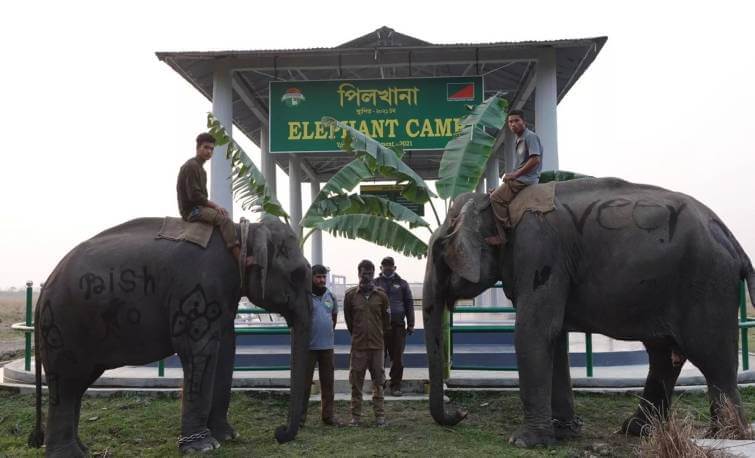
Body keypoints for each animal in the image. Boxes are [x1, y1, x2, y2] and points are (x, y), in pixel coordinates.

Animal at [27, 216, 310, 456]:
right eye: (298, 275)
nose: (279, 433)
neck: (242, 232)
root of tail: (44, 288)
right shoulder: (197, 292)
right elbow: (200, 352)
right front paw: (203, 447)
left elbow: (225, 351)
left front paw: (228, 437)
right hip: (62, 326)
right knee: (66, 383)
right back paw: (69, 454)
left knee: (77, 384)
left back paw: (82, 449)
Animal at [426, 178, 755, 448]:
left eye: (441, 250)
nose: (460, 413)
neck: (496, 202)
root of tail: (734, 242)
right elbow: (554, 337)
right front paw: (564, 433)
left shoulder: (539, 253)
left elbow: (533, 331)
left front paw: (524, 442)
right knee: (663, 353)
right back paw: (636, 430)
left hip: (706, 283)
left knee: (712, 358)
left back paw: (725, 436)